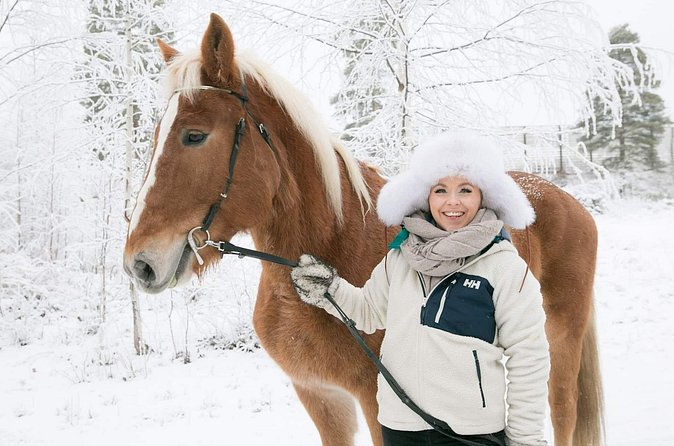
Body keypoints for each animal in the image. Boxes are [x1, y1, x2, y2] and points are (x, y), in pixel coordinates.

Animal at [123, 13, 603, 446]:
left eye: (194, 135)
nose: (138, 264)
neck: (337, 241)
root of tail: (569, 201)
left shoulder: (378, 404)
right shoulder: (320, 397)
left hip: (559, 342)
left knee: (562, 411)